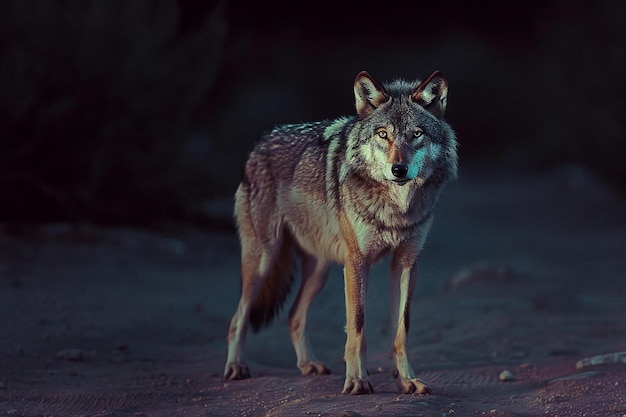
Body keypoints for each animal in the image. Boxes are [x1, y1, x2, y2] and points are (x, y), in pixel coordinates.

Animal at [224, 69, 458, 394]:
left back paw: (308, 364)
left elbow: (401, 329)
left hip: (319, 270)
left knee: (294, 315)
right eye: (382, 134)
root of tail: (259, 144)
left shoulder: (406, 263)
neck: (396, 207)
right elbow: (357, 326)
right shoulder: (357, 262)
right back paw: (236, 367)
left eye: (417, 134)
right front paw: (358, 380)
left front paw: (407, 380)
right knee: (238, 317)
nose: (399, 169)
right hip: (262, 261)